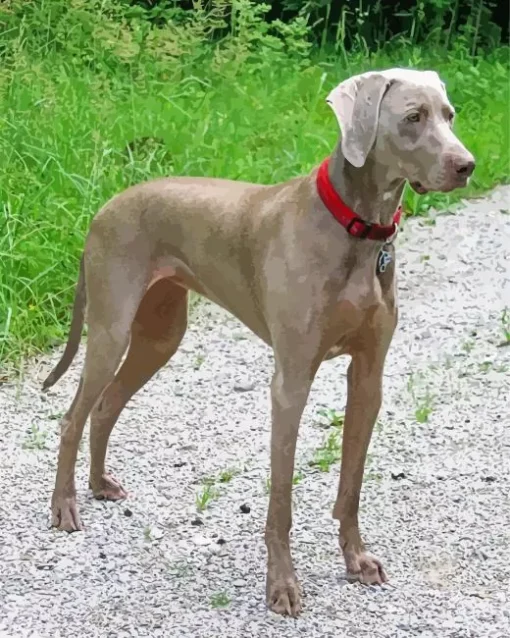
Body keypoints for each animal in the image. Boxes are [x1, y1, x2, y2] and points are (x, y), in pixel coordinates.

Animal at [42, 67, 474, 616]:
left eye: (450, 115)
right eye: (413, 117)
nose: (467, 165)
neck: (356, 229)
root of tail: (104, 207)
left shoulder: (369, 375)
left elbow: (351, 485)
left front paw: (356, 560)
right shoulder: (290, 382)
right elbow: (281, 498)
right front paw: (282, 586)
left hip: (160, 336)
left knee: (105, 407)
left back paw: (99, 485)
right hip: (111, 328)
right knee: (73, 417)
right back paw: (64, 506)